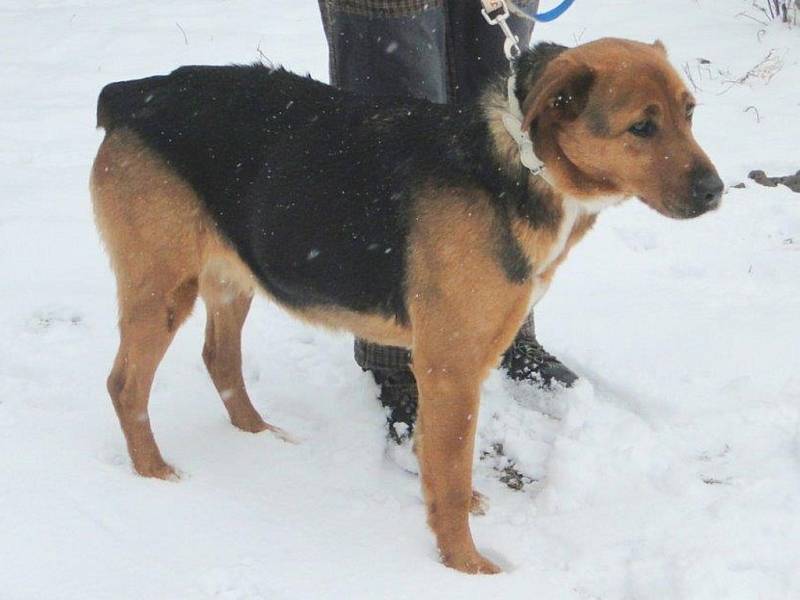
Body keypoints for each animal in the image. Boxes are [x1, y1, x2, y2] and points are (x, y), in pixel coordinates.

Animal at [92, 39, 724, 576]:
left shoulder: (468, 357)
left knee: (218, 357)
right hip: (163, 288)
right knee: (125, 384)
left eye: (690, 114)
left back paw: (260, 434)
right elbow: (450, 472)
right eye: (641, 127)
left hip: (232, 276)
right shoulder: (450, 365)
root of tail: (130, 94)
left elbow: (441, 457)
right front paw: (466, 567)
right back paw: (156, 474)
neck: (521, 163)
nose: (717, 191)